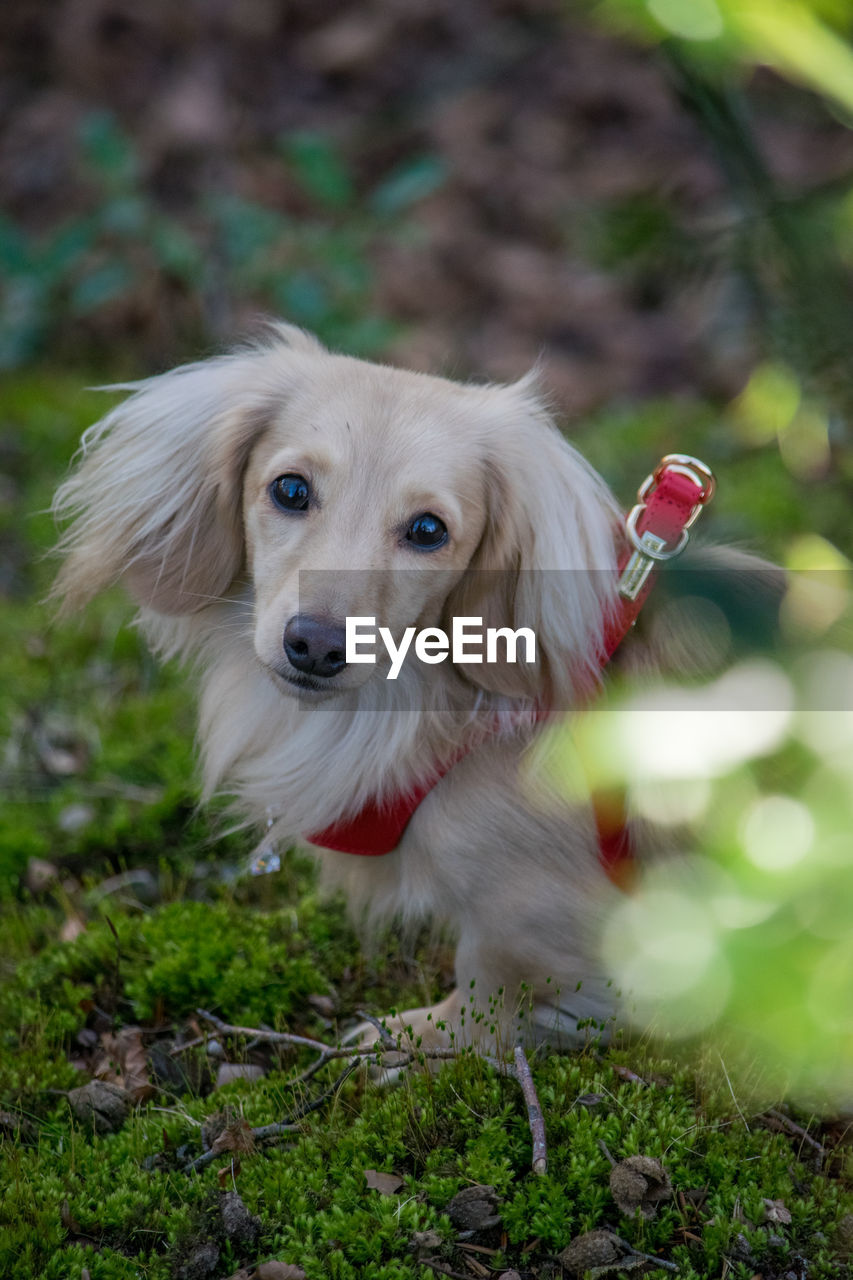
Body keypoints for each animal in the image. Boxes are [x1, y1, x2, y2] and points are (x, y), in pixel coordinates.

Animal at [51, 322, 768, 1059]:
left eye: (428, 530)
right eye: (290, 489)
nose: (315, 645)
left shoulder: (530, 908)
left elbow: (492, 985)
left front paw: (419, 1040)